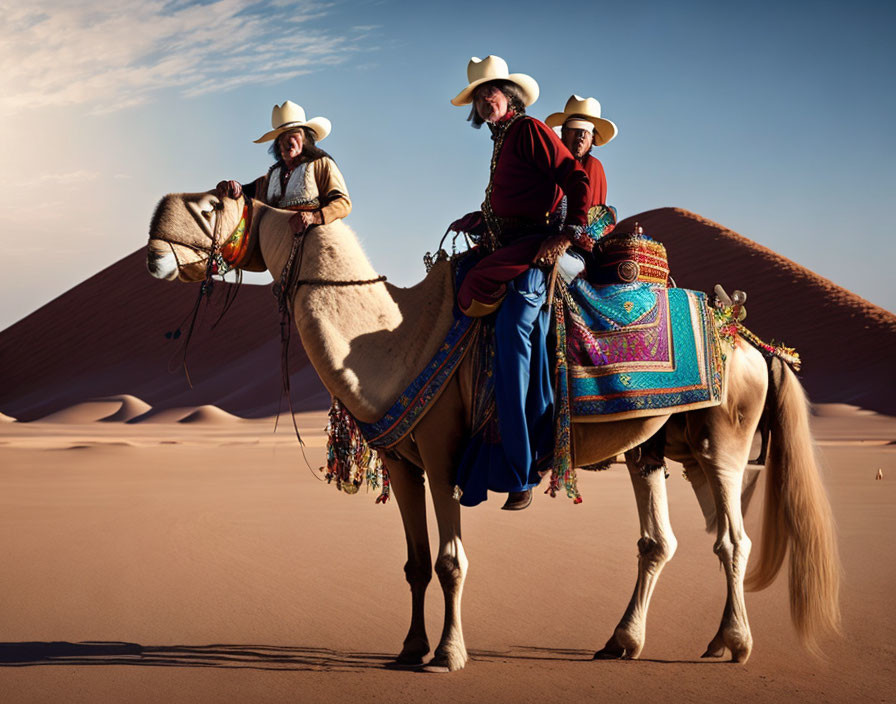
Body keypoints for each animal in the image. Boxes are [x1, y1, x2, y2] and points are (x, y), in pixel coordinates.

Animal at [147, 192, 840, 672]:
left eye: (213, 202)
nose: (153, 246)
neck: (392, 339)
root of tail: (751, 341)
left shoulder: (446, 452)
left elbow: (451, 561)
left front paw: (449, 656)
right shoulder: (402, 460)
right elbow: (415, 563)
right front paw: (408, 649)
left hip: (725, 439)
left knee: (733, 538)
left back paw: (735, 644)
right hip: (666, 447)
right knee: (662, 540)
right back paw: (630, 641)